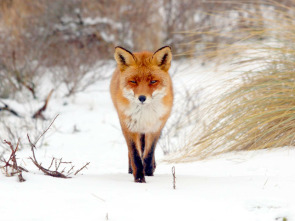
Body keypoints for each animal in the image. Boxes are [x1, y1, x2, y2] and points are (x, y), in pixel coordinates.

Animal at [110, 45, 173, 182]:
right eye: (133, 81)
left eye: (153, 81)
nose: (142, 98)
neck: (144, 115)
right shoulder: (128, 127)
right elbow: (135, 155)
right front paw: (139, 178)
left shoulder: (156, 127)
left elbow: (149, 154)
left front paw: (148, 173)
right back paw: (130, 170)